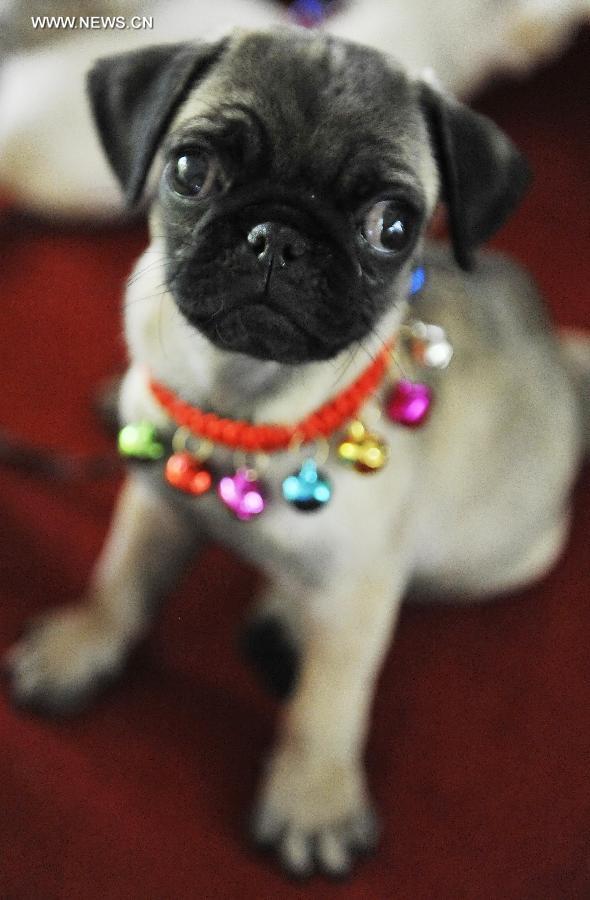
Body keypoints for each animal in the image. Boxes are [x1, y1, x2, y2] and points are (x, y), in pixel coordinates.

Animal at [6, 28, 588, 880]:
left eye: (394, 226)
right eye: (190, 170)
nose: (277, 236)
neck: (247, 414)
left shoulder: (359, 588)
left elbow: (329, 700)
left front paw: (313, 800)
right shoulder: (153, 501)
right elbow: (122, 583)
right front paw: (82, 646)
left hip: (487, 561)